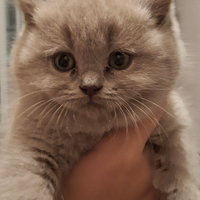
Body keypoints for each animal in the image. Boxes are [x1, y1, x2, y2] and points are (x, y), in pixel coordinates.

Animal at [0, 0, 200, 199]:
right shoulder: (28, 147)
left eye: (119, 59)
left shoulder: (174, 121)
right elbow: (27, 186)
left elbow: (183, 165)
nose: (90, 87)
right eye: (63, 61)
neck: (94, 133)